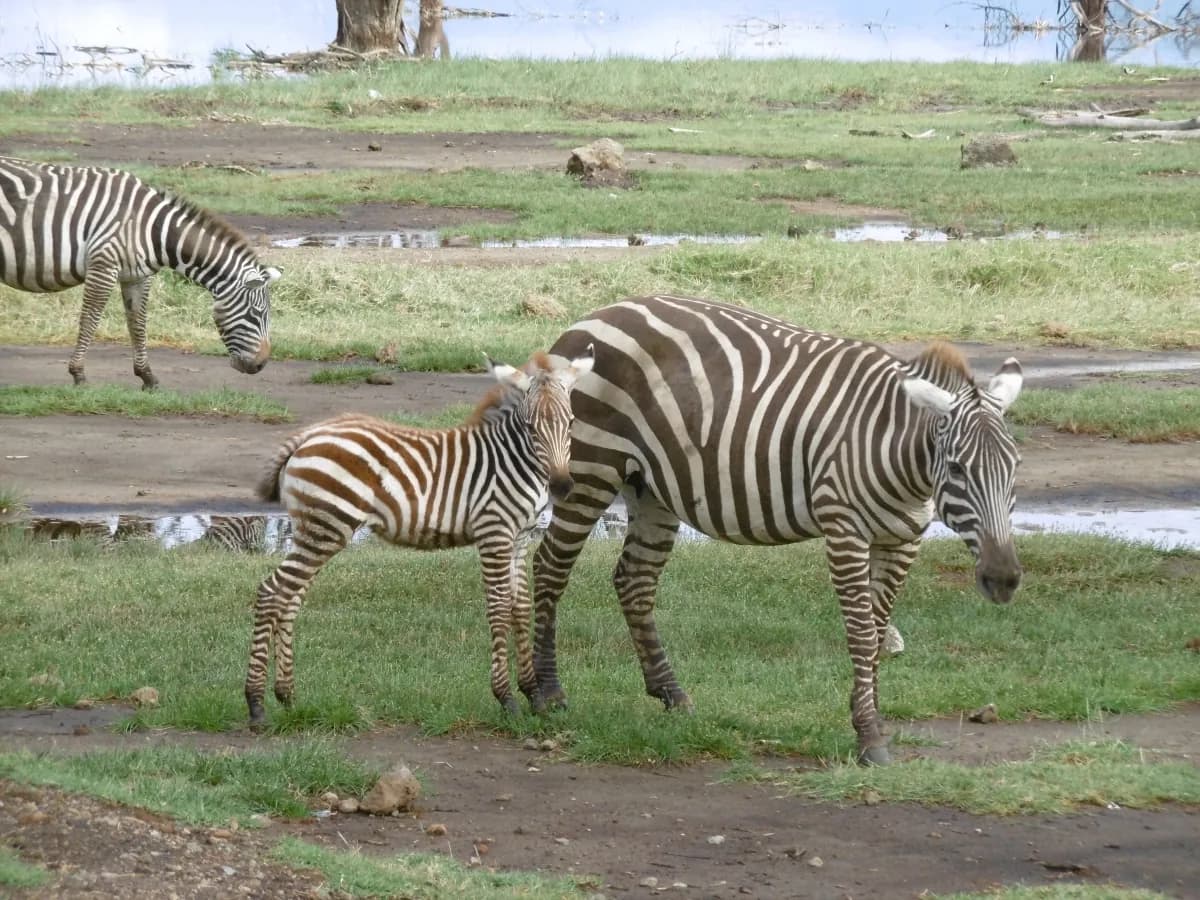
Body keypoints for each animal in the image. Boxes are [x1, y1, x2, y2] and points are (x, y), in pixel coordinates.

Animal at [0, 156, 278, 388]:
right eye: (257, 314)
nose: (261, 364)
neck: (154, 229)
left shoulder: (137, 275)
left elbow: (138, 322)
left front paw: (147, 376)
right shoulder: (103, 265)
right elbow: (90, 319)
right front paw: (78, 373)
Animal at [244, 347, 595, 726]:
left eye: (571, 422)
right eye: (531, 428)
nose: (562, 487)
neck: (512, 462)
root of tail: (309, 434)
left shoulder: (519, 540)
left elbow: (520, 609)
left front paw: (533, 695)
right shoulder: (495, 534)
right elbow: (500, 608)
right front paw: (507, 699)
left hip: (313, 530)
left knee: (289, 598)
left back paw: (286, 697)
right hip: (326, 527)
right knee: (272, 593)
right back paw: (256, 705)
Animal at [531, 295, 1024, 765]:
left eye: (1015, 467)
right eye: (957, 468)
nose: (1003, 579)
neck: (900, 456)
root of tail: (588, 319)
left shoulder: (904, 539)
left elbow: (879, 630)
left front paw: (870, 716)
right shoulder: (843, 529)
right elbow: (863, 633)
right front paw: (869, 736)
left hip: (650, 487)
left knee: (634, 581)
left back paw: (671, 694)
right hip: (591, 469)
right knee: (550, 567)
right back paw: (544, 692)